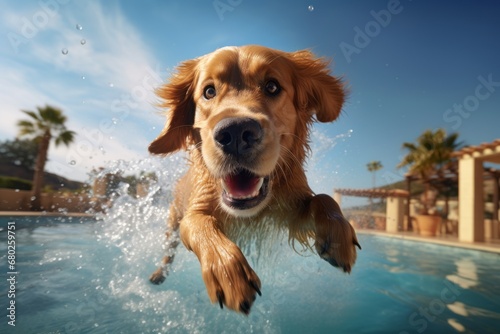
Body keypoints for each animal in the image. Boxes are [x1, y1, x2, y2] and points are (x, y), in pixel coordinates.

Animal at [147, 45, 360, 314]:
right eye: (209, 91)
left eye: (272, 86)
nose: (235, 133)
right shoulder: (195, 210)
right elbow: (199, 223)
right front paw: (227, 273)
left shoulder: (288, 210)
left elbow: (322, 199)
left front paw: (337, 232)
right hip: (173, 220)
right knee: (169, 252)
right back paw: (158, 274)